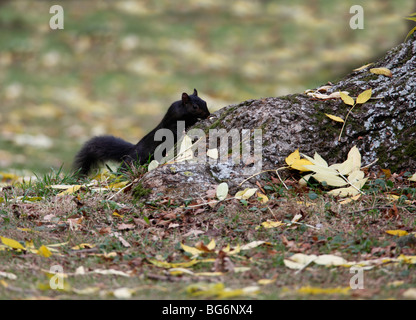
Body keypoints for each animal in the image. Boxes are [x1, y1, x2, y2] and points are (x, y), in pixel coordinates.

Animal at [72, 89, 210, 176]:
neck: (183, 112)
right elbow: (175, 131)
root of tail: (131, 150)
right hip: (134, 159)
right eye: (195, 107)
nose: (208, 114)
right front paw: (186, 129)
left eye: (205, 102)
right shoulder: (171, 123)